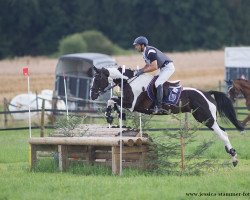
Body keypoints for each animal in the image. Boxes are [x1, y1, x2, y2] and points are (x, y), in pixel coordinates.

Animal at [90, 65, 244, 166]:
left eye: (97, 79)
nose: (92, 95)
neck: (129, 82)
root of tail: (207, 93)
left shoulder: (132, 104)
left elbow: (112, 100)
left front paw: (110, 115)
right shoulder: (129, 104)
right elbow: (113, 103)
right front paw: (112, 117)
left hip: (206, 118)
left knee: (222, 133)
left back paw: (234, 158)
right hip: (206, 118)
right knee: (223, 131)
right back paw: (232, 154)